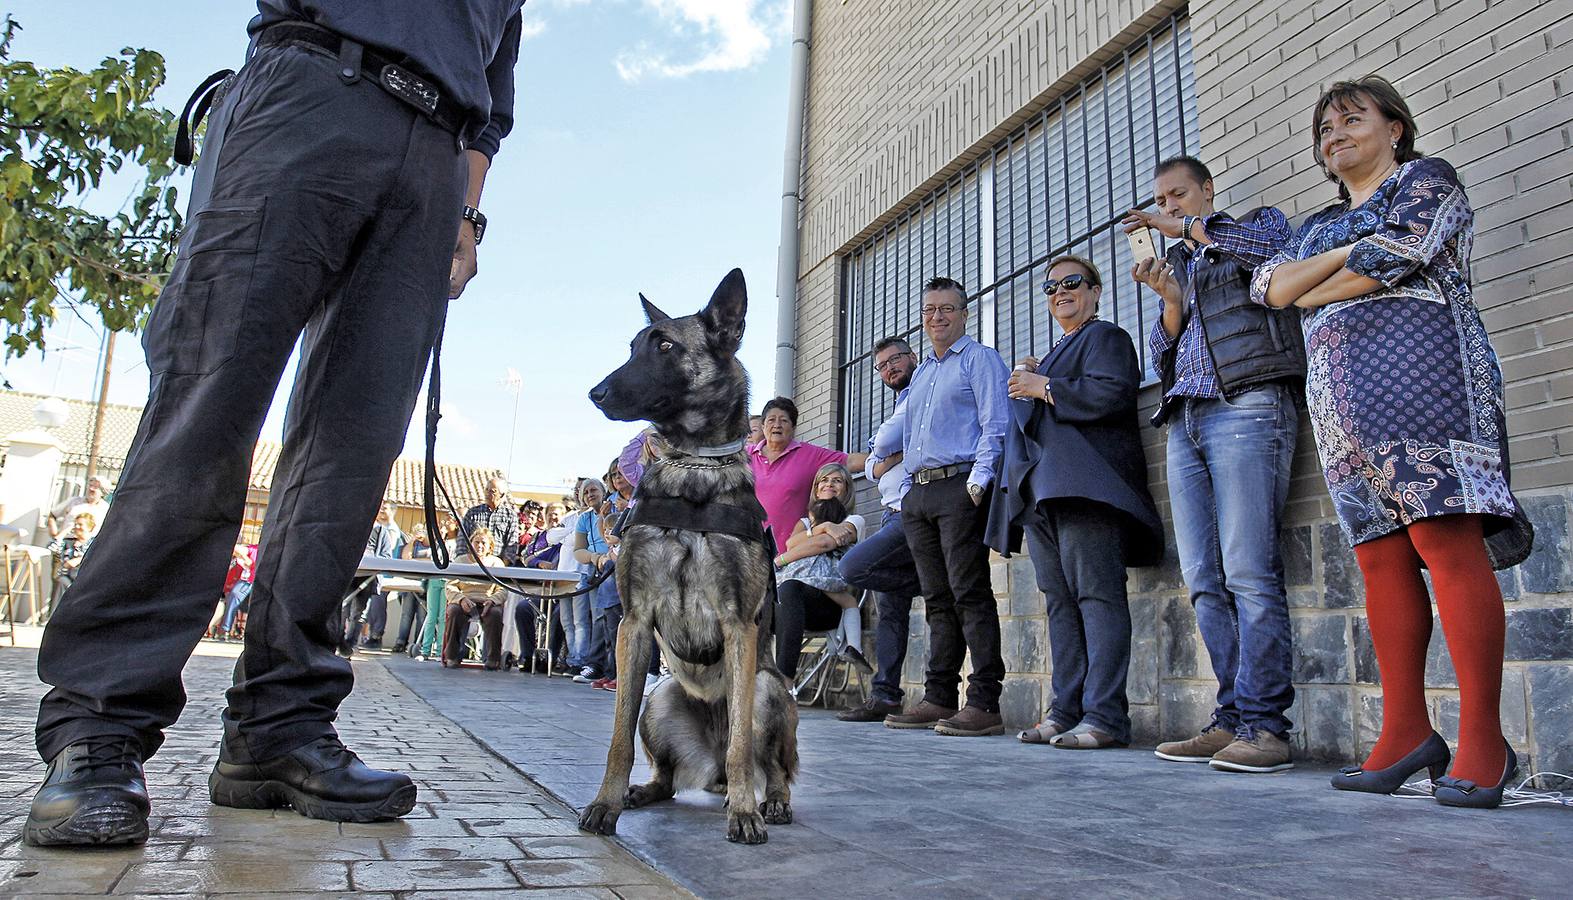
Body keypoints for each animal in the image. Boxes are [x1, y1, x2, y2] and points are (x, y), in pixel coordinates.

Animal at [582, 267, 799, 843]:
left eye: (665, 346)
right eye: (633, 346)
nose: (596, 393)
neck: (693, 470)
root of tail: (712, 768)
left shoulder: (739, 626)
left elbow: (743, 742)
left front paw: (744, 813)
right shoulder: (633, 626)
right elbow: (617, 739)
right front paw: (604, 803)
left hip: (769, 688)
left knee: (769, 764)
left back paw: (769, 802)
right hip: (659, 700)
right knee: (666, 774)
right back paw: (640, 792)